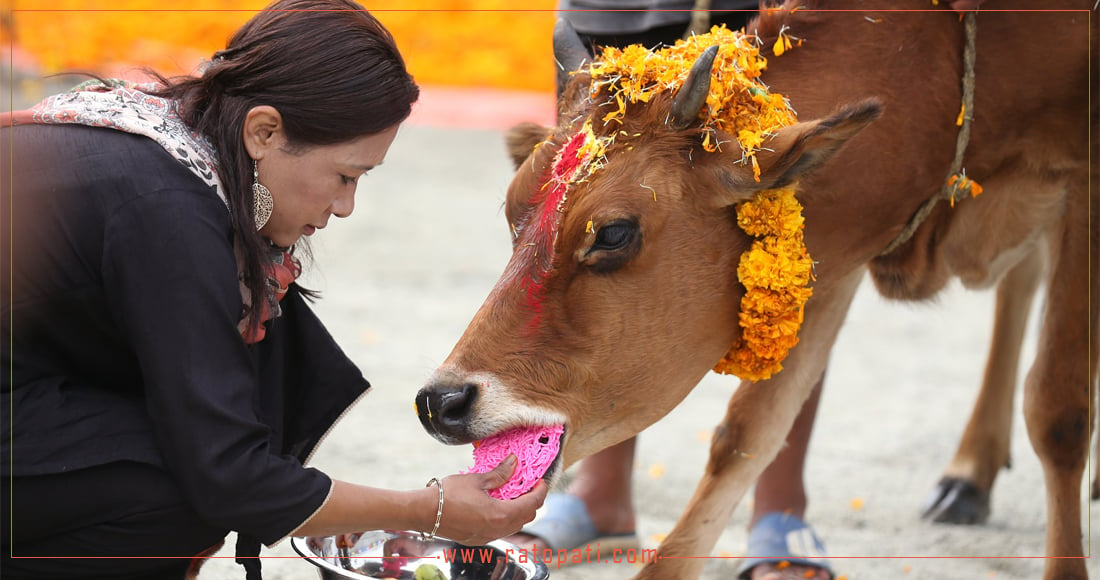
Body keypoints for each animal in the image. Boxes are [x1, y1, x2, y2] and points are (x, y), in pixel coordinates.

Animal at [415, 2, 1095, 576]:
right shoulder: (828, 251)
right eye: (512, 208)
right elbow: (750, 434)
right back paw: (971, 473)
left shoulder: (1082, 186)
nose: (442, 401)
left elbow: (1058, 413)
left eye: (612, 232)